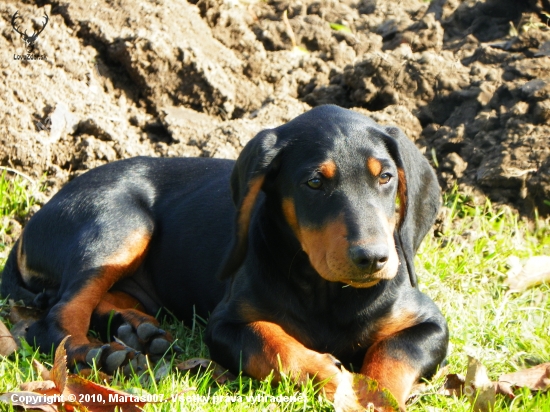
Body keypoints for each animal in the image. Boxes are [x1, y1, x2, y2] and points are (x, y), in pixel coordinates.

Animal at [1, 105, 448, 408]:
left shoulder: (430, 323)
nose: (373, 259)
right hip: (121, 221)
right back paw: (97, 352)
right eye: (314, 183)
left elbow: (393, 354)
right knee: (57, 317)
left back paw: (138, 330)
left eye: (386, 177)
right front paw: (328, 374)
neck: (329, 292)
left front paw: (372, 398)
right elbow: (274, 344)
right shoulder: (227, 324)